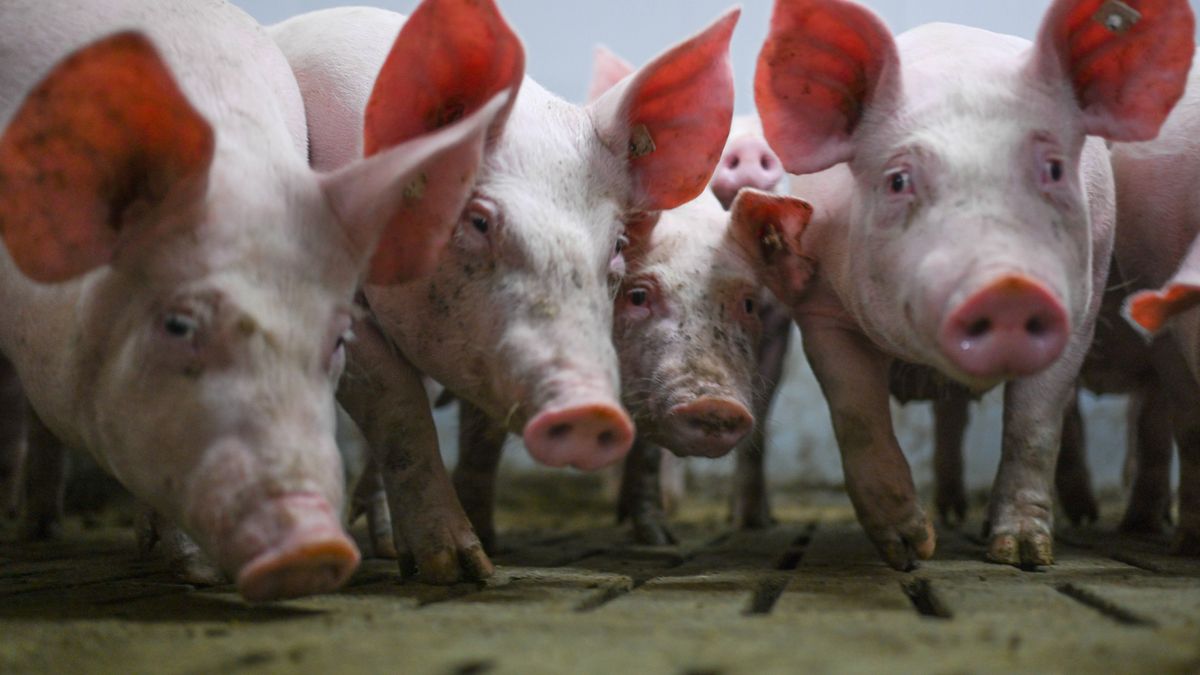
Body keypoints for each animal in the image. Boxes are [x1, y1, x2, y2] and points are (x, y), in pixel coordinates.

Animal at [271, 0, 739, 581]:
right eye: (477, 221)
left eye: (618, 242)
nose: (591, 410)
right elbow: (397, 401)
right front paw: (457, 568)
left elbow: (480, 429)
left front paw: (482, 552)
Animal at [751, 0, 1193, 568]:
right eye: (898, 180)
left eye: (1054, 169)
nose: (1007, 288)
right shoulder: (821, 309)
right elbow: (858, 419)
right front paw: (911, 551)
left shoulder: (1082, 308)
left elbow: (1034, 426)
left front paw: (1023, 555)